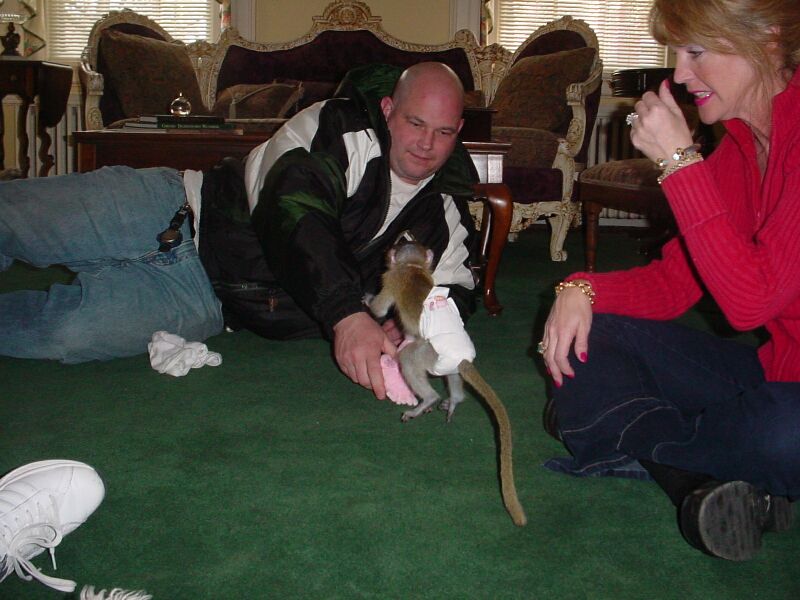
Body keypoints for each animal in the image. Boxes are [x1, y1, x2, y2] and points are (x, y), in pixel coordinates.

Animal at [368, 232, 527, 527]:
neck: (412, 267)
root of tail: (463, 357)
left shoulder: (390, 278)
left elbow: (380, 309)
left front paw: (367, 299)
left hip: (428, 352)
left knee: (408, 358)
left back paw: (426, 401)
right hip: (445, 360)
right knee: (452, 374)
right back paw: (454, 400)